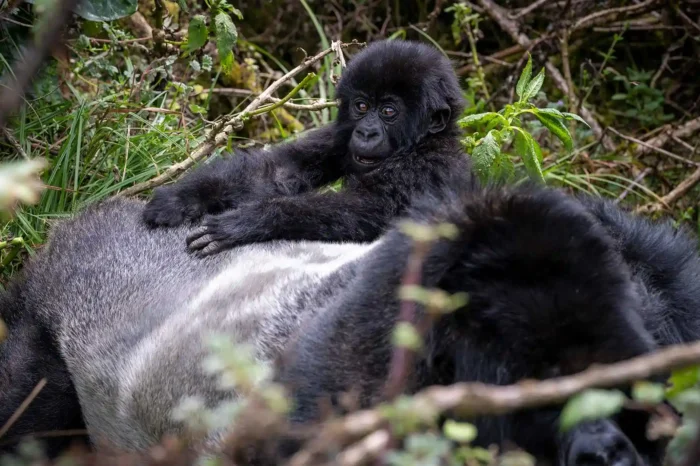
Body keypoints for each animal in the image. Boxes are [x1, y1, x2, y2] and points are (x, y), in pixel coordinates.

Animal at [141, 39, 473, 257]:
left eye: (389, 111)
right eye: (362, 106)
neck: (423, 142)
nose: (366, 132)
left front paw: (250, 221)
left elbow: (370, 212)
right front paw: (185, 196)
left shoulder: (425, 167)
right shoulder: (338, 136)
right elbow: (277, 173)